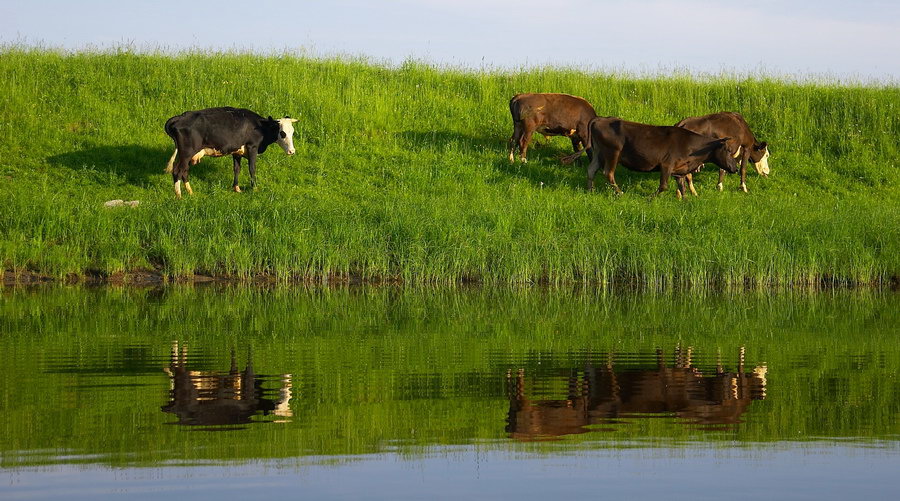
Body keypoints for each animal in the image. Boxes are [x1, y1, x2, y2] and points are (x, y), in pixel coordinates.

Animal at [165, 105, 298, 197]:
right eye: (282, 133)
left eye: (292, 132)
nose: (292, 151)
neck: (258, 126)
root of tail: (181, 116)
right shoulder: (252, 147)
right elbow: (252, 168)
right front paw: (255, 188)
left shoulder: (237, 152)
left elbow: (237, 169)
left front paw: (237, 188)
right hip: (186, 153)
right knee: (178, 171)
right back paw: (179, 196)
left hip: (186, 154)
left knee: (184, 171)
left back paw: (190, 192)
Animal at [568, 117, 740, 199]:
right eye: (727, 150)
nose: (735, 168)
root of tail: (601, 119)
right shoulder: (666, 165)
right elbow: (664, 186)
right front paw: (650, 198)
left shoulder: (679, 170)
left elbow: (682, 187)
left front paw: (686, 201)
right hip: (612, 152)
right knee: (608, 173)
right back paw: (620, 193)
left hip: (598, 152)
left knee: (591, 170)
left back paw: (590, 190)